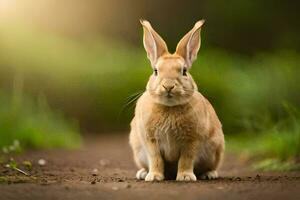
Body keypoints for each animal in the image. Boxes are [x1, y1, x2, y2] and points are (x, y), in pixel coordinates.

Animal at [129, 19, 225, 181]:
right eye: (155, 71)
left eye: (184, 71)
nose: (168, 86)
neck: (169, 107)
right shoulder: (151, 141)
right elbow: (155, 159)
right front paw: (154, 177)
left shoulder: (191, 140)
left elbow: (186, 159)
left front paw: (185, 177)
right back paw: (143, 173)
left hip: (215, 151)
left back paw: (209, 174)